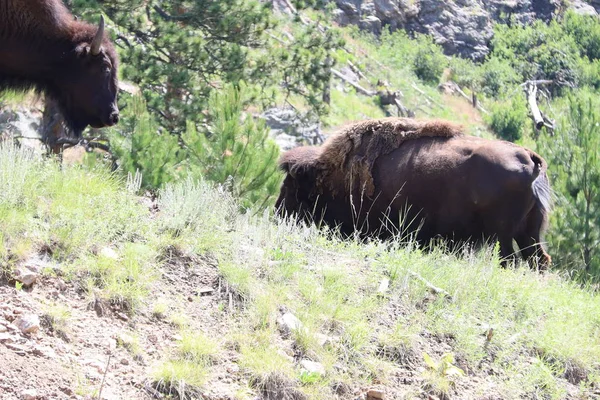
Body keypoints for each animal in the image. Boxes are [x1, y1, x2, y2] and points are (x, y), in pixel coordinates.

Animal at [276, 117, 552, 270]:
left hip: (503, 234)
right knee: (538, 259)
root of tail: (529, 156)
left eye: (291, 186)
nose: (279, 213)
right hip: (528, 233)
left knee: (511, 259)